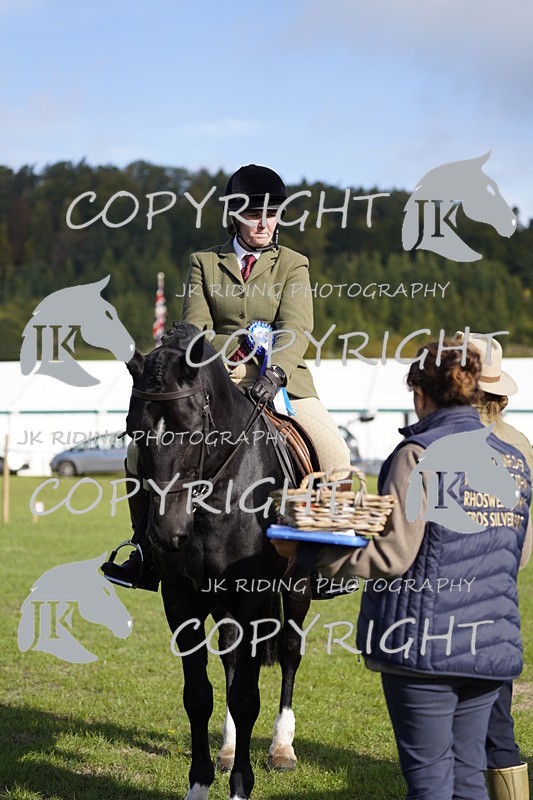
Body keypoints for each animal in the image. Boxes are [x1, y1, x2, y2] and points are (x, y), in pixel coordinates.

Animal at [125, 323, 312, 800]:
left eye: (194, 429)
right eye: (134, 432)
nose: (167, 533)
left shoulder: (254, 598)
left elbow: (246, 697)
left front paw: (240, 785)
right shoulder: (180, 600)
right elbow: (199, 695)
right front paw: (200, 782)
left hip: (297, 587)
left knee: (289, 652)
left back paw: (282, 748)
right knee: (230, 658)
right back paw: (228, 748)